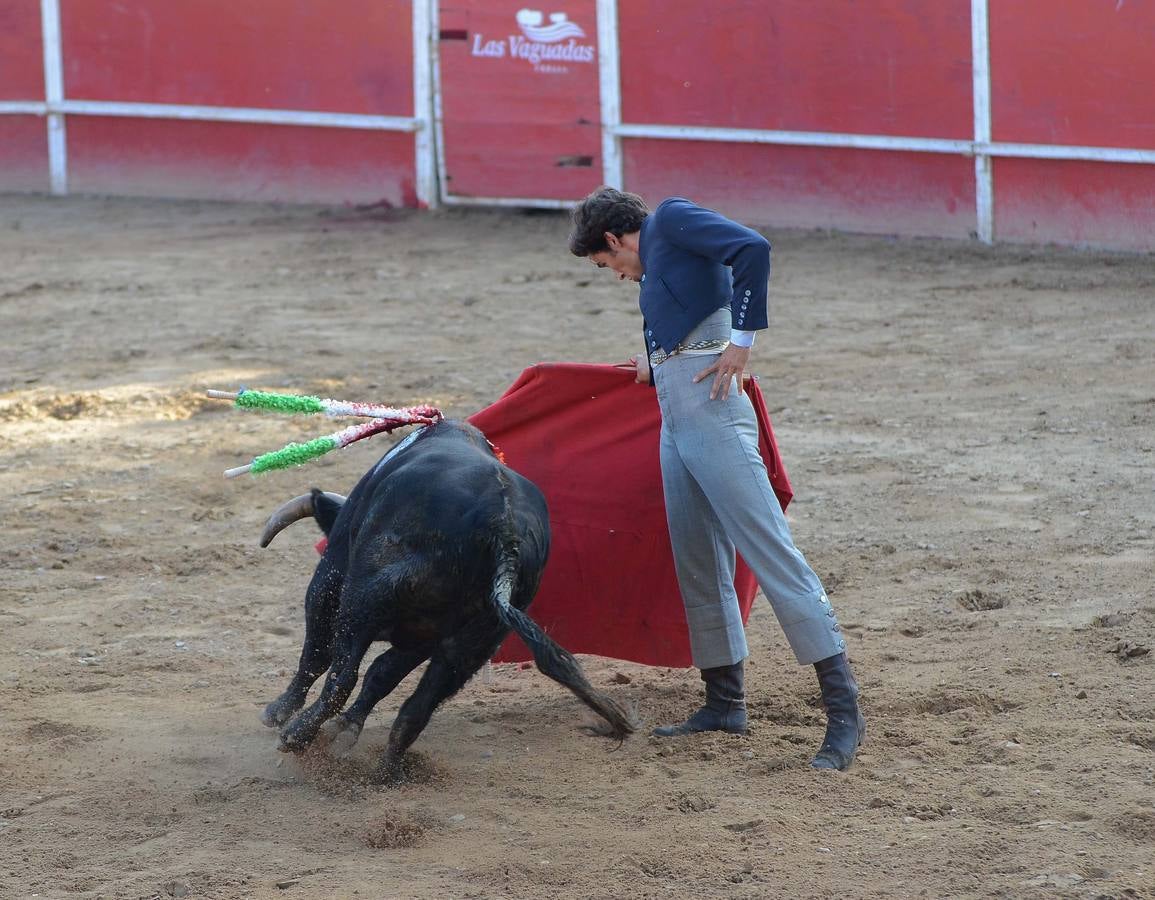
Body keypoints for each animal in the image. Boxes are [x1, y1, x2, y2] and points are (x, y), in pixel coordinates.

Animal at [258, 420, 637, 781]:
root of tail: (505, 530)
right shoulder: (423, 640)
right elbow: (381, 676)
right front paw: (346, 729)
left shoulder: (331, 575)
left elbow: (320, 654)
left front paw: (279, 712)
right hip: (475, 641)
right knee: (416, 709)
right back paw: (385, 773)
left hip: (365, 597)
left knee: (343, 675)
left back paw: (297, 735)